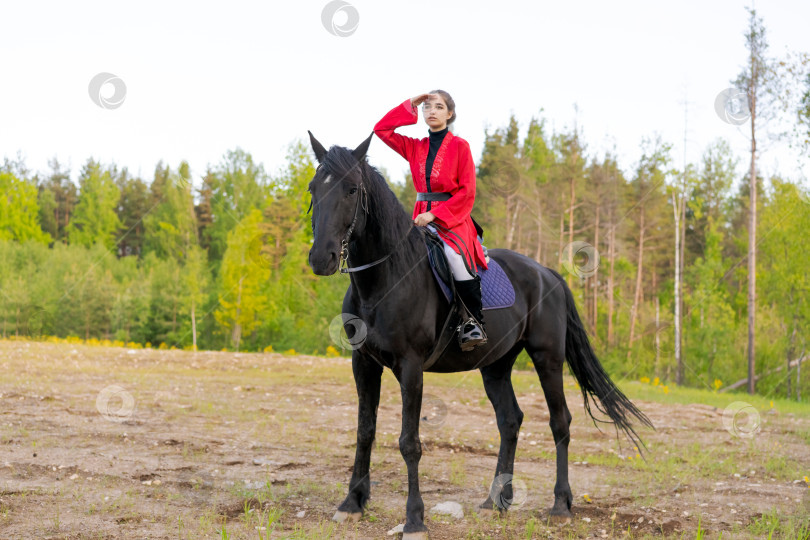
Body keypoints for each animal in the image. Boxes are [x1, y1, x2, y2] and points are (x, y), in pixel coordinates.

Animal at [304, 132, 652, 540]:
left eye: (352, 190)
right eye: (314, 188)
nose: (321, 258)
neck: (386, 278)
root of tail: (547, 272)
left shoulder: (411, 368)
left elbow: (409, 442)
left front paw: (415, 519)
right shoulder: (364, 364)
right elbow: (365, 430)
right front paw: (352, 503)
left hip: (547, 358)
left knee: (560, 422)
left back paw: (560, 505)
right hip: (496, 366)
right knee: (510, 421)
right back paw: (496, 501)